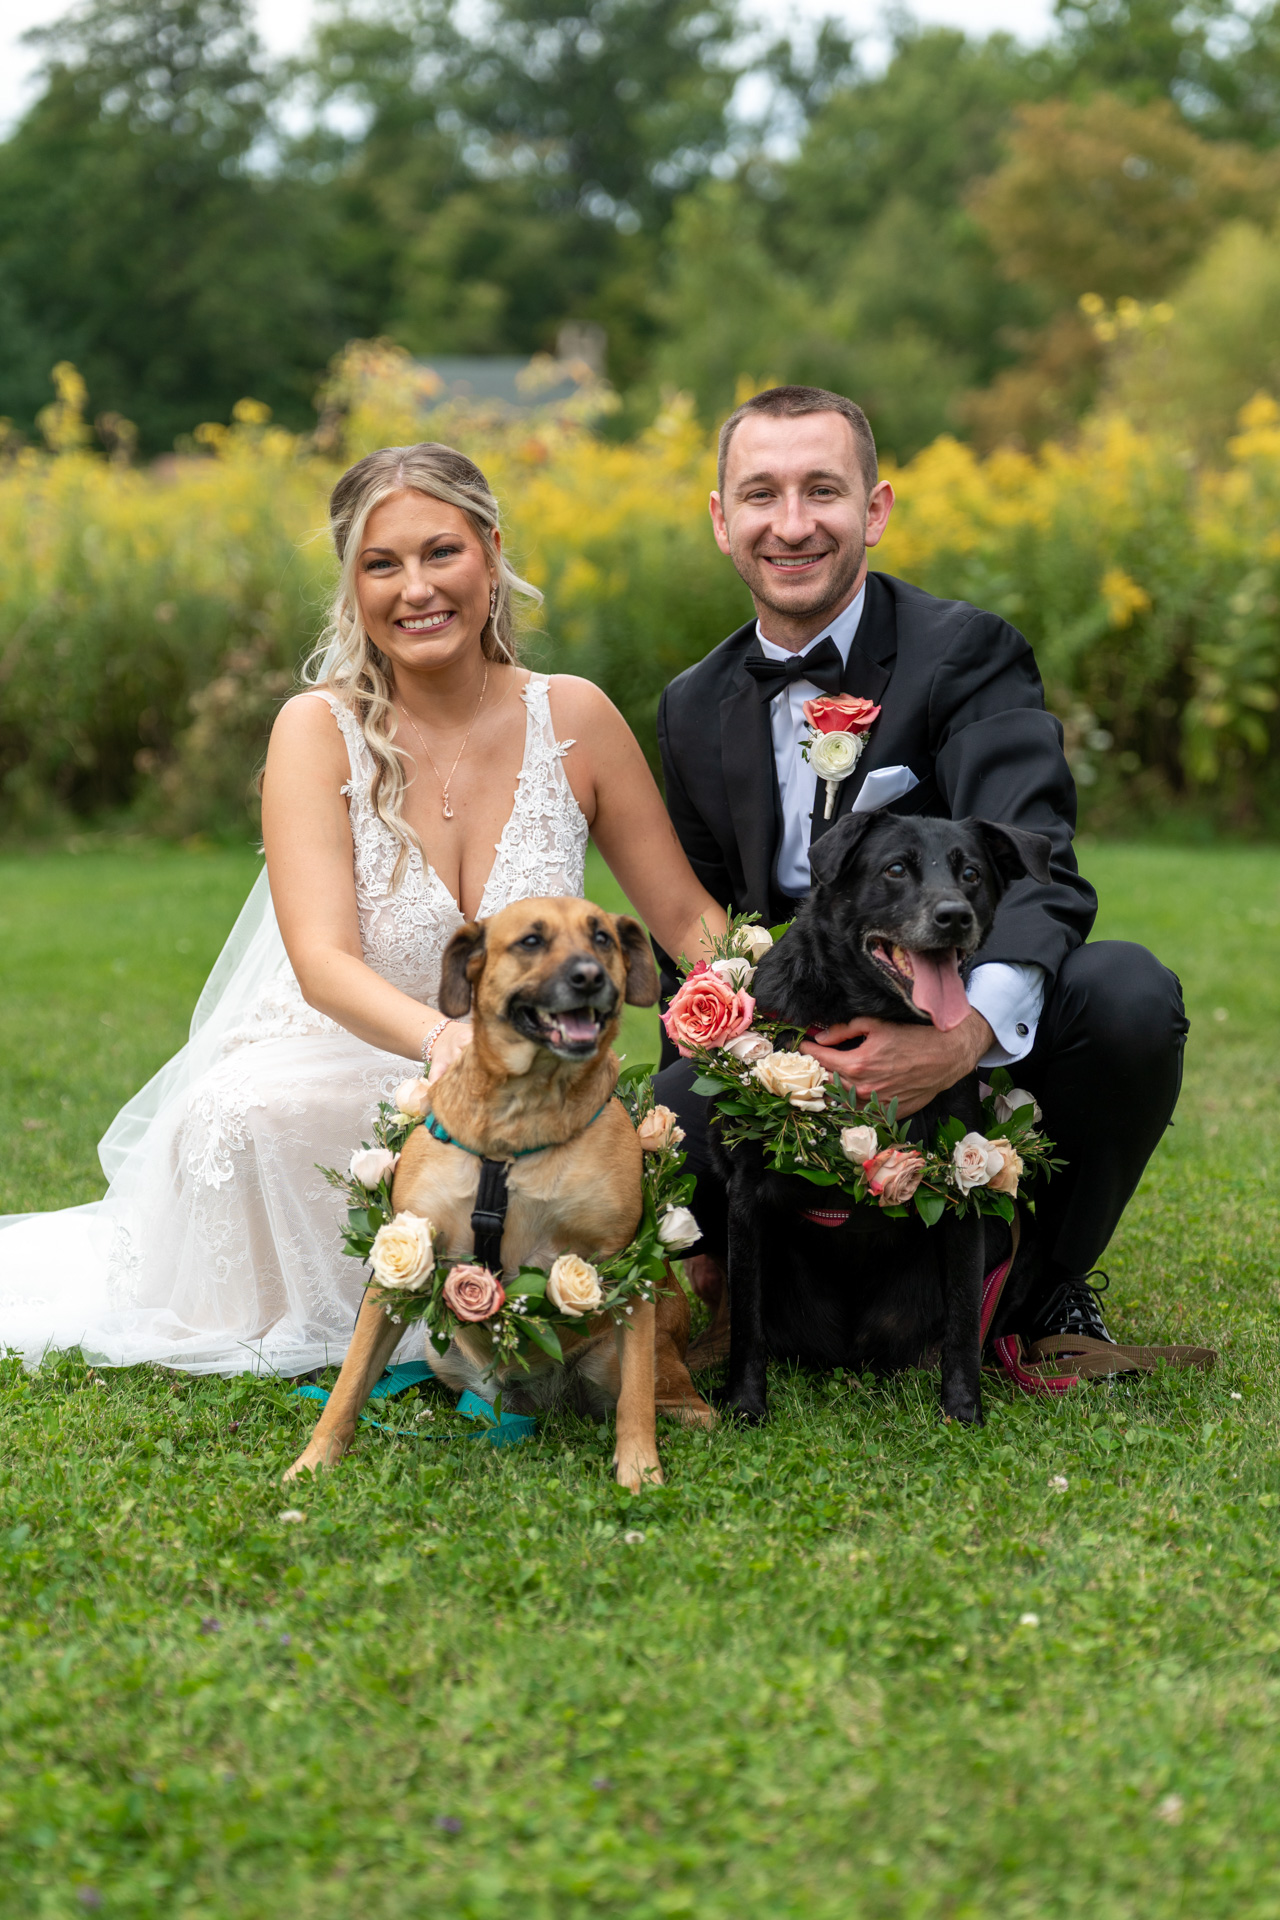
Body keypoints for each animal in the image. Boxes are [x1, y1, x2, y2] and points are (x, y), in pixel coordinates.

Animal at [285, 896, 712, 1492]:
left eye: (602, 938)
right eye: (531, 941)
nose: (590, 976)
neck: (522, 1114)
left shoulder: (631, 1271)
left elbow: (635, 1404)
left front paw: (639, 1472)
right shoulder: (396, 1269)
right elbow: (348, 1387)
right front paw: (313, 1464)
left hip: (638, 1361)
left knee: (676, 1403)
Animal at [712, 809, 1051, 1428]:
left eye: (971, 874)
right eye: (895, 869)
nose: (953, 916)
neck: (862, 1007)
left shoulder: (961, 1196)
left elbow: (965, 1321)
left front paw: (962, 1410)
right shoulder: (746, 1196)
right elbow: (745, 1322)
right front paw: (745, 1406)